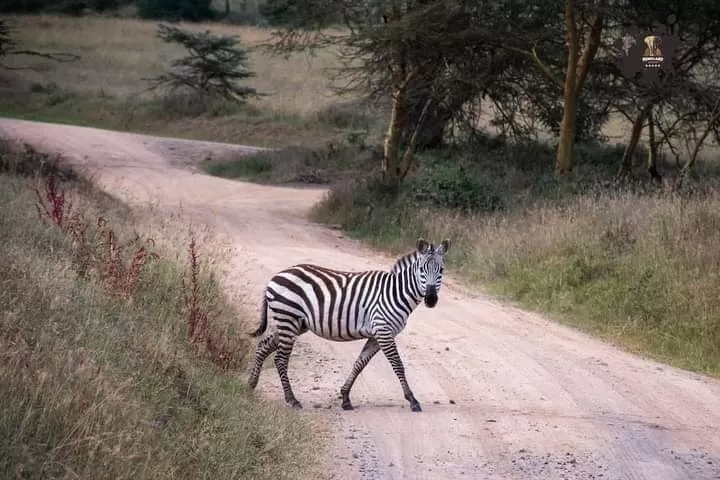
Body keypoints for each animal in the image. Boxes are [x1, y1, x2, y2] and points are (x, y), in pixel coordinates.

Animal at [248, 238, 450, 410]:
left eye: (441, 270)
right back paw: (292, 400)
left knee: (263, 346)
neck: (395, 293)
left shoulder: (377, 335)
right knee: (280, 359)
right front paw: (412, 400)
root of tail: (276, 276)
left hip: (293, 323)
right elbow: (397, 364)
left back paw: (251, 384)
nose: (431, 299)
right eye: (422, 270)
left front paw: (345, 398)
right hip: (288, 319)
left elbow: (359, 364)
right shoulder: (383, 331)